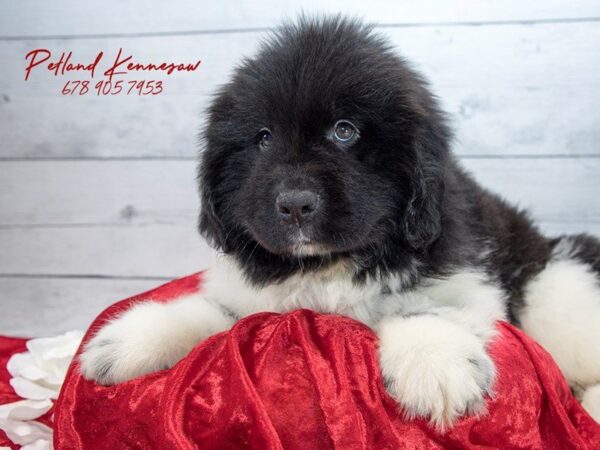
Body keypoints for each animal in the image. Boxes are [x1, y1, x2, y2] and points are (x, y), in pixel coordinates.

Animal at [81, 15, 600, 428]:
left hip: (558, 294)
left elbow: (425, 306)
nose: (294, 204)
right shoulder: (248, 297)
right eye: (263, 139)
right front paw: (128, 340)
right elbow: (214, 314)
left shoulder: (467, 279)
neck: (326, 266)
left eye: (344, 131)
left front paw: (434, 364)